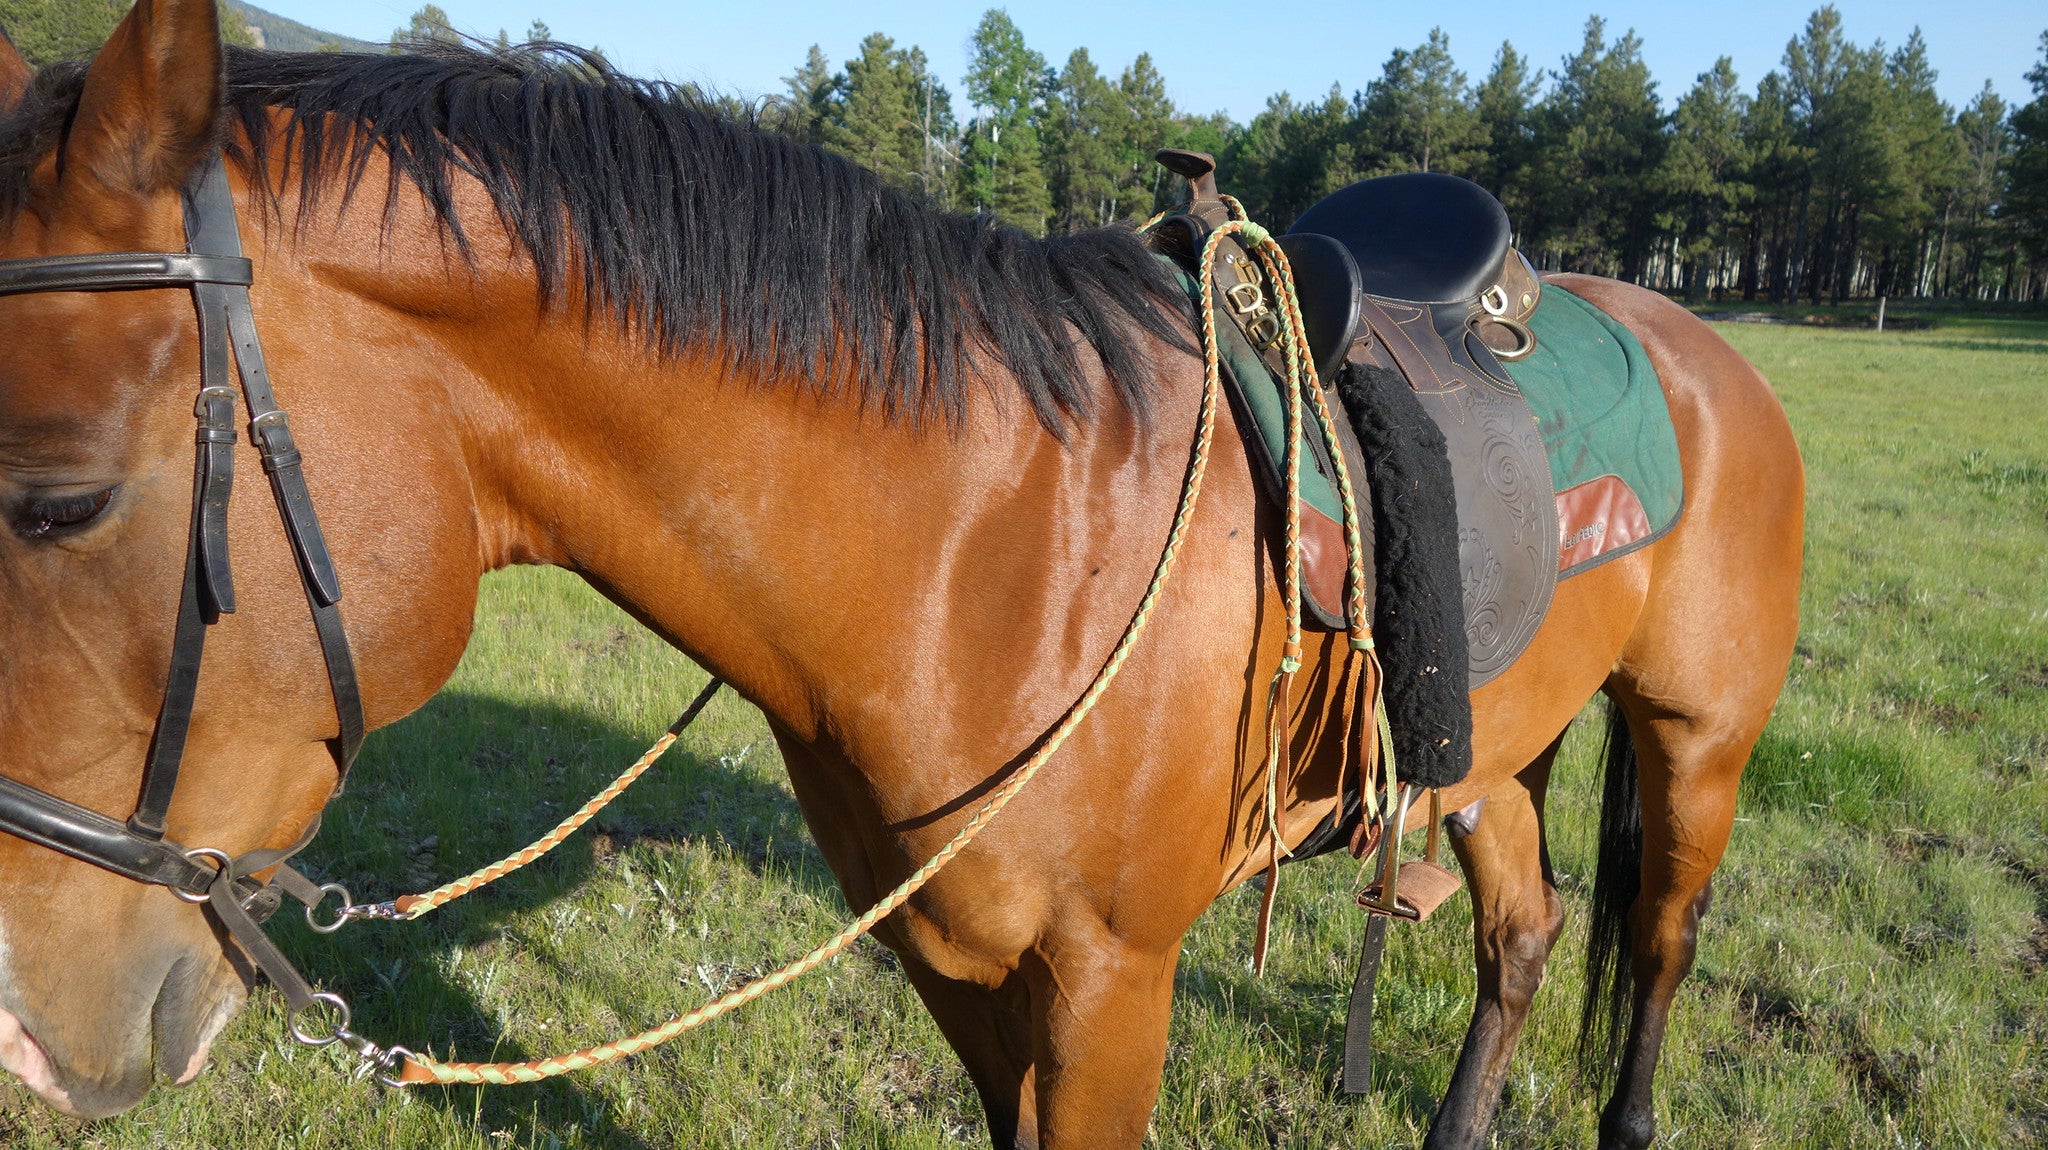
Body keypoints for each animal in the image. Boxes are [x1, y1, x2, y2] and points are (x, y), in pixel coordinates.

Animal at [0, 4, 1802, 1137]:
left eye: (56, 505)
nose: (27, 1024)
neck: (986, 546)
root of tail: (1698, 338)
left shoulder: (1108, 987)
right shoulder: (965, 972)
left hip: (1693, 745)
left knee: (1654, 946)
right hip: (1486, 747)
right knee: (1523, 938)